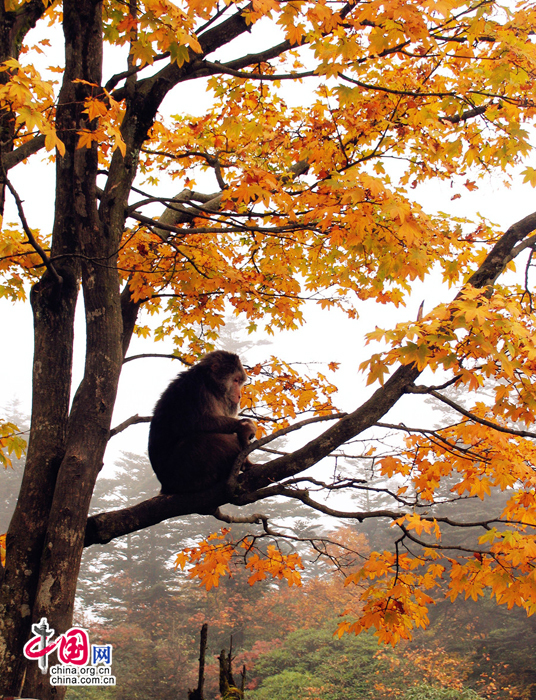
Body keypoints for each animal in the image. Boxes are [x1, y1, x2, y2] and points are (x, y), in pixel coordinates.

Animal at [147, 348, 255, 492]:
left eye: (240, 381)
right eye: (236, 380)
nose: (239, 395)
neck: (211, 386)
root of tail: (166, 486)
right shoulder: (196, 388)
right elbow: (200, 421)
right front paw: (243, 426)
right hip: (180, 472)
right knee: (203, 438)